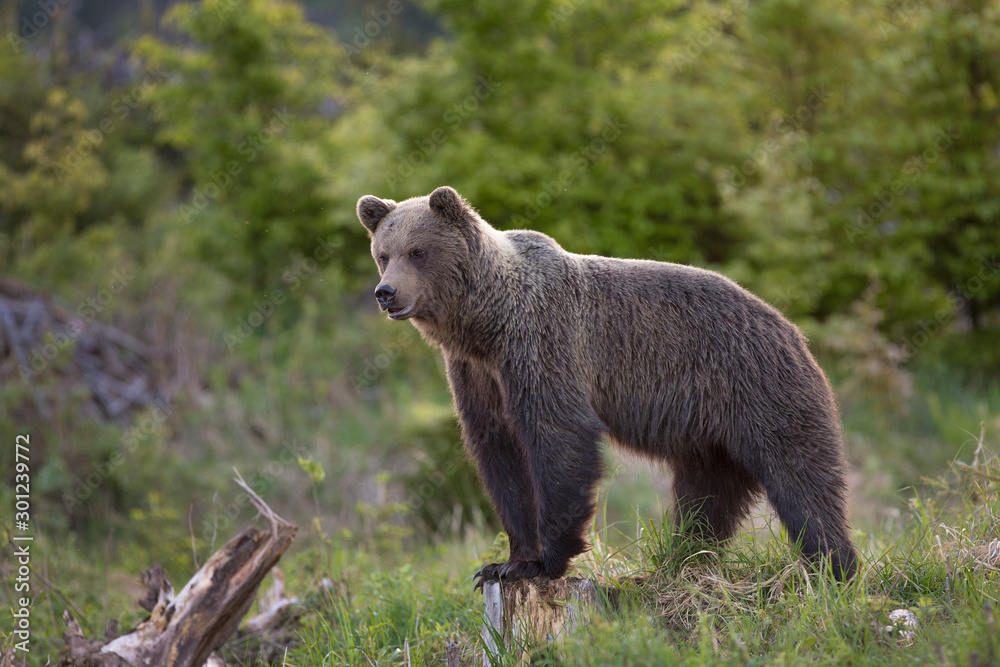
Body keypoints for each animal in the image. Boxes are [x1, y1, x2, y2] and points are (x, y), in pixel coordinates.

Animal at [357, 185, 859, 585]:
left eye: (417, 251)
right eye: (384, 253)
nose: (386, 292)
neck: (486, 324)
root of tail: (792, 329)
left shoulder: (542, 344)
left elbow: (558, 436)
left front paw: (546, 561)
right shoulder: (476, 373)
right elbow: (498, 453)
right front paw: (505, 563)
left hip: (762, 389)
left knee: (803, 479)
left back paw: (834, 567)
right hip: (711, 435)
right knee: (706, 496)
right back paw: (683, 557)